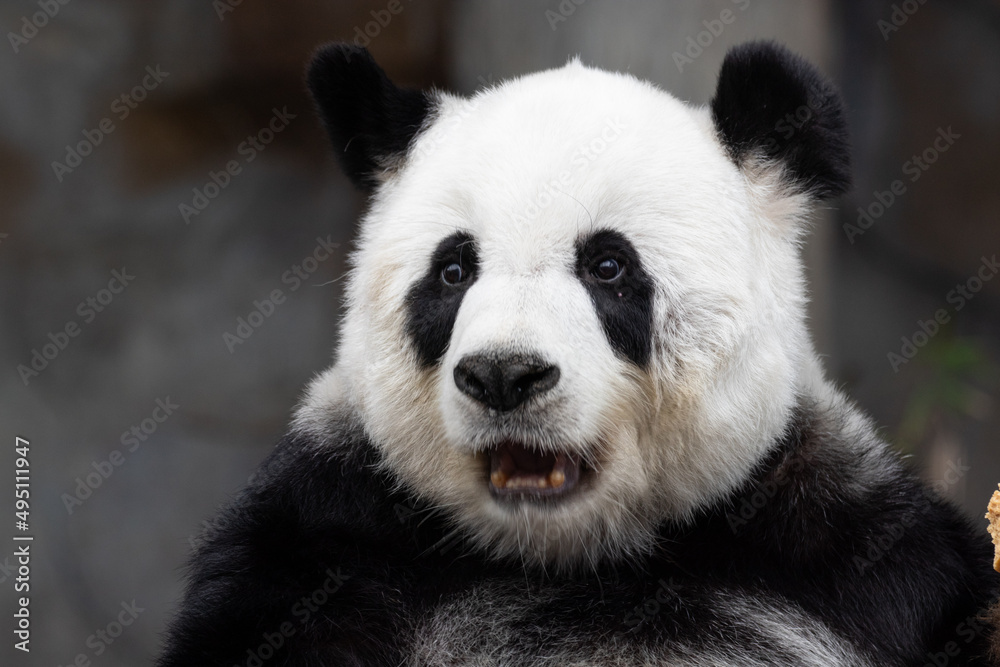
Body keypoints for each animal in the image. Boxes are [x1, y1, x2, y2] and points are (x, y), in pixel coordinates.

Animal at [158, 41, 1000, 667]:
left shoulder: (853, 557)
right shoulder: (321, 544)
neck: (573, 557)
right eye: (453, 271)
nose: (504, 374)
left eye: (608, 265)